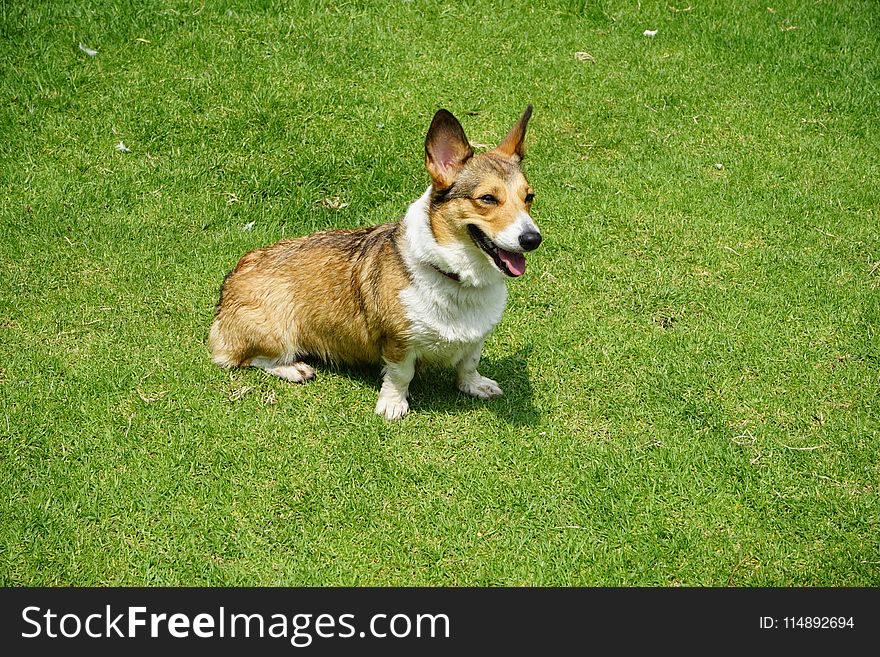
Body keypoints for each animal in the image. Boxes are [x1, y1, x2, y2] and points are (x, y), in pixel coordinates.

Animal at [210, 105, 540, 418]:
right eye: (487, 199)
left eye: (529, 197)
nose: (533, 239)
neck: (456, 277)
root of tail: (232, 278)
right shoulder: (399, 342)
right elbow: (400, 375)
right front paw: (393, 405)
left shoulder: (477, 338)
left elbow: (469, 363)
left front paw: (474, 385)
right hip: (275, 333)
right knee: (241, 358)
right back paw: (293, 368)